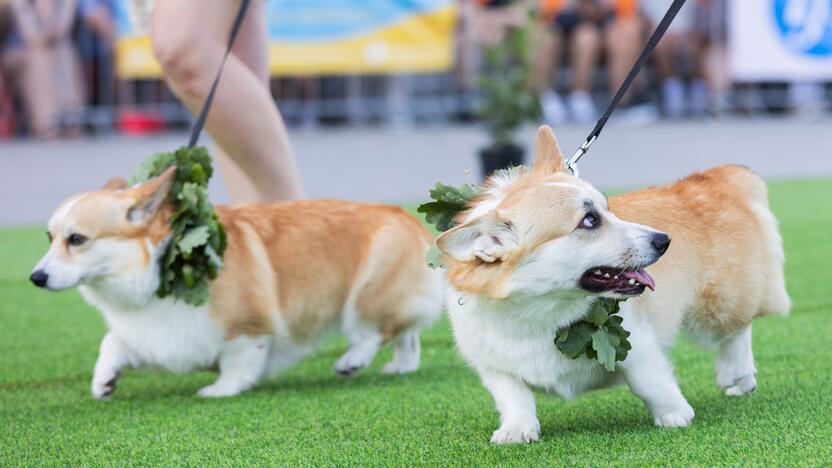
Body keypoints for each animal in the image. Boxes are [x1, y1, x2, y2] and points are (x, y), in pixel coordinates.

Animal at [30, 168, 446, 398]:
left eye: (77, 239)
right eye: (49, 237)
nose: (36, 277)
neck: (164, 266)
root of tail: (407, 217)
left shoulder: (248, 330)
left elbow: (239, 363)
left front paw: (220, 390)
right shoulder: (159, 334)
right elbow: (113, 342)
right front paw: (104, 382)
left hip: (366, 296)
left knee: (377, 330)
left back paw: (352, 360)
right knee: (406, 334)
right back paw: (400, 367)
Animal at [438, 126, 788, 444]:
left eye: (609, 209)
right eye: (589, 220)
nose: (664, 240)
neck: (537, 312)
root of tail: (714, 177)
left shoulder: (637, 344)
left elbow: (647, 381)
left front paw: (675, 415)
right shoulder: (492, 365)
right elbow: (513, 395)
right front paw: (516, 430)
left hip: (715, 307)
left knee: (739, 328)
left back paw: (735, 373)